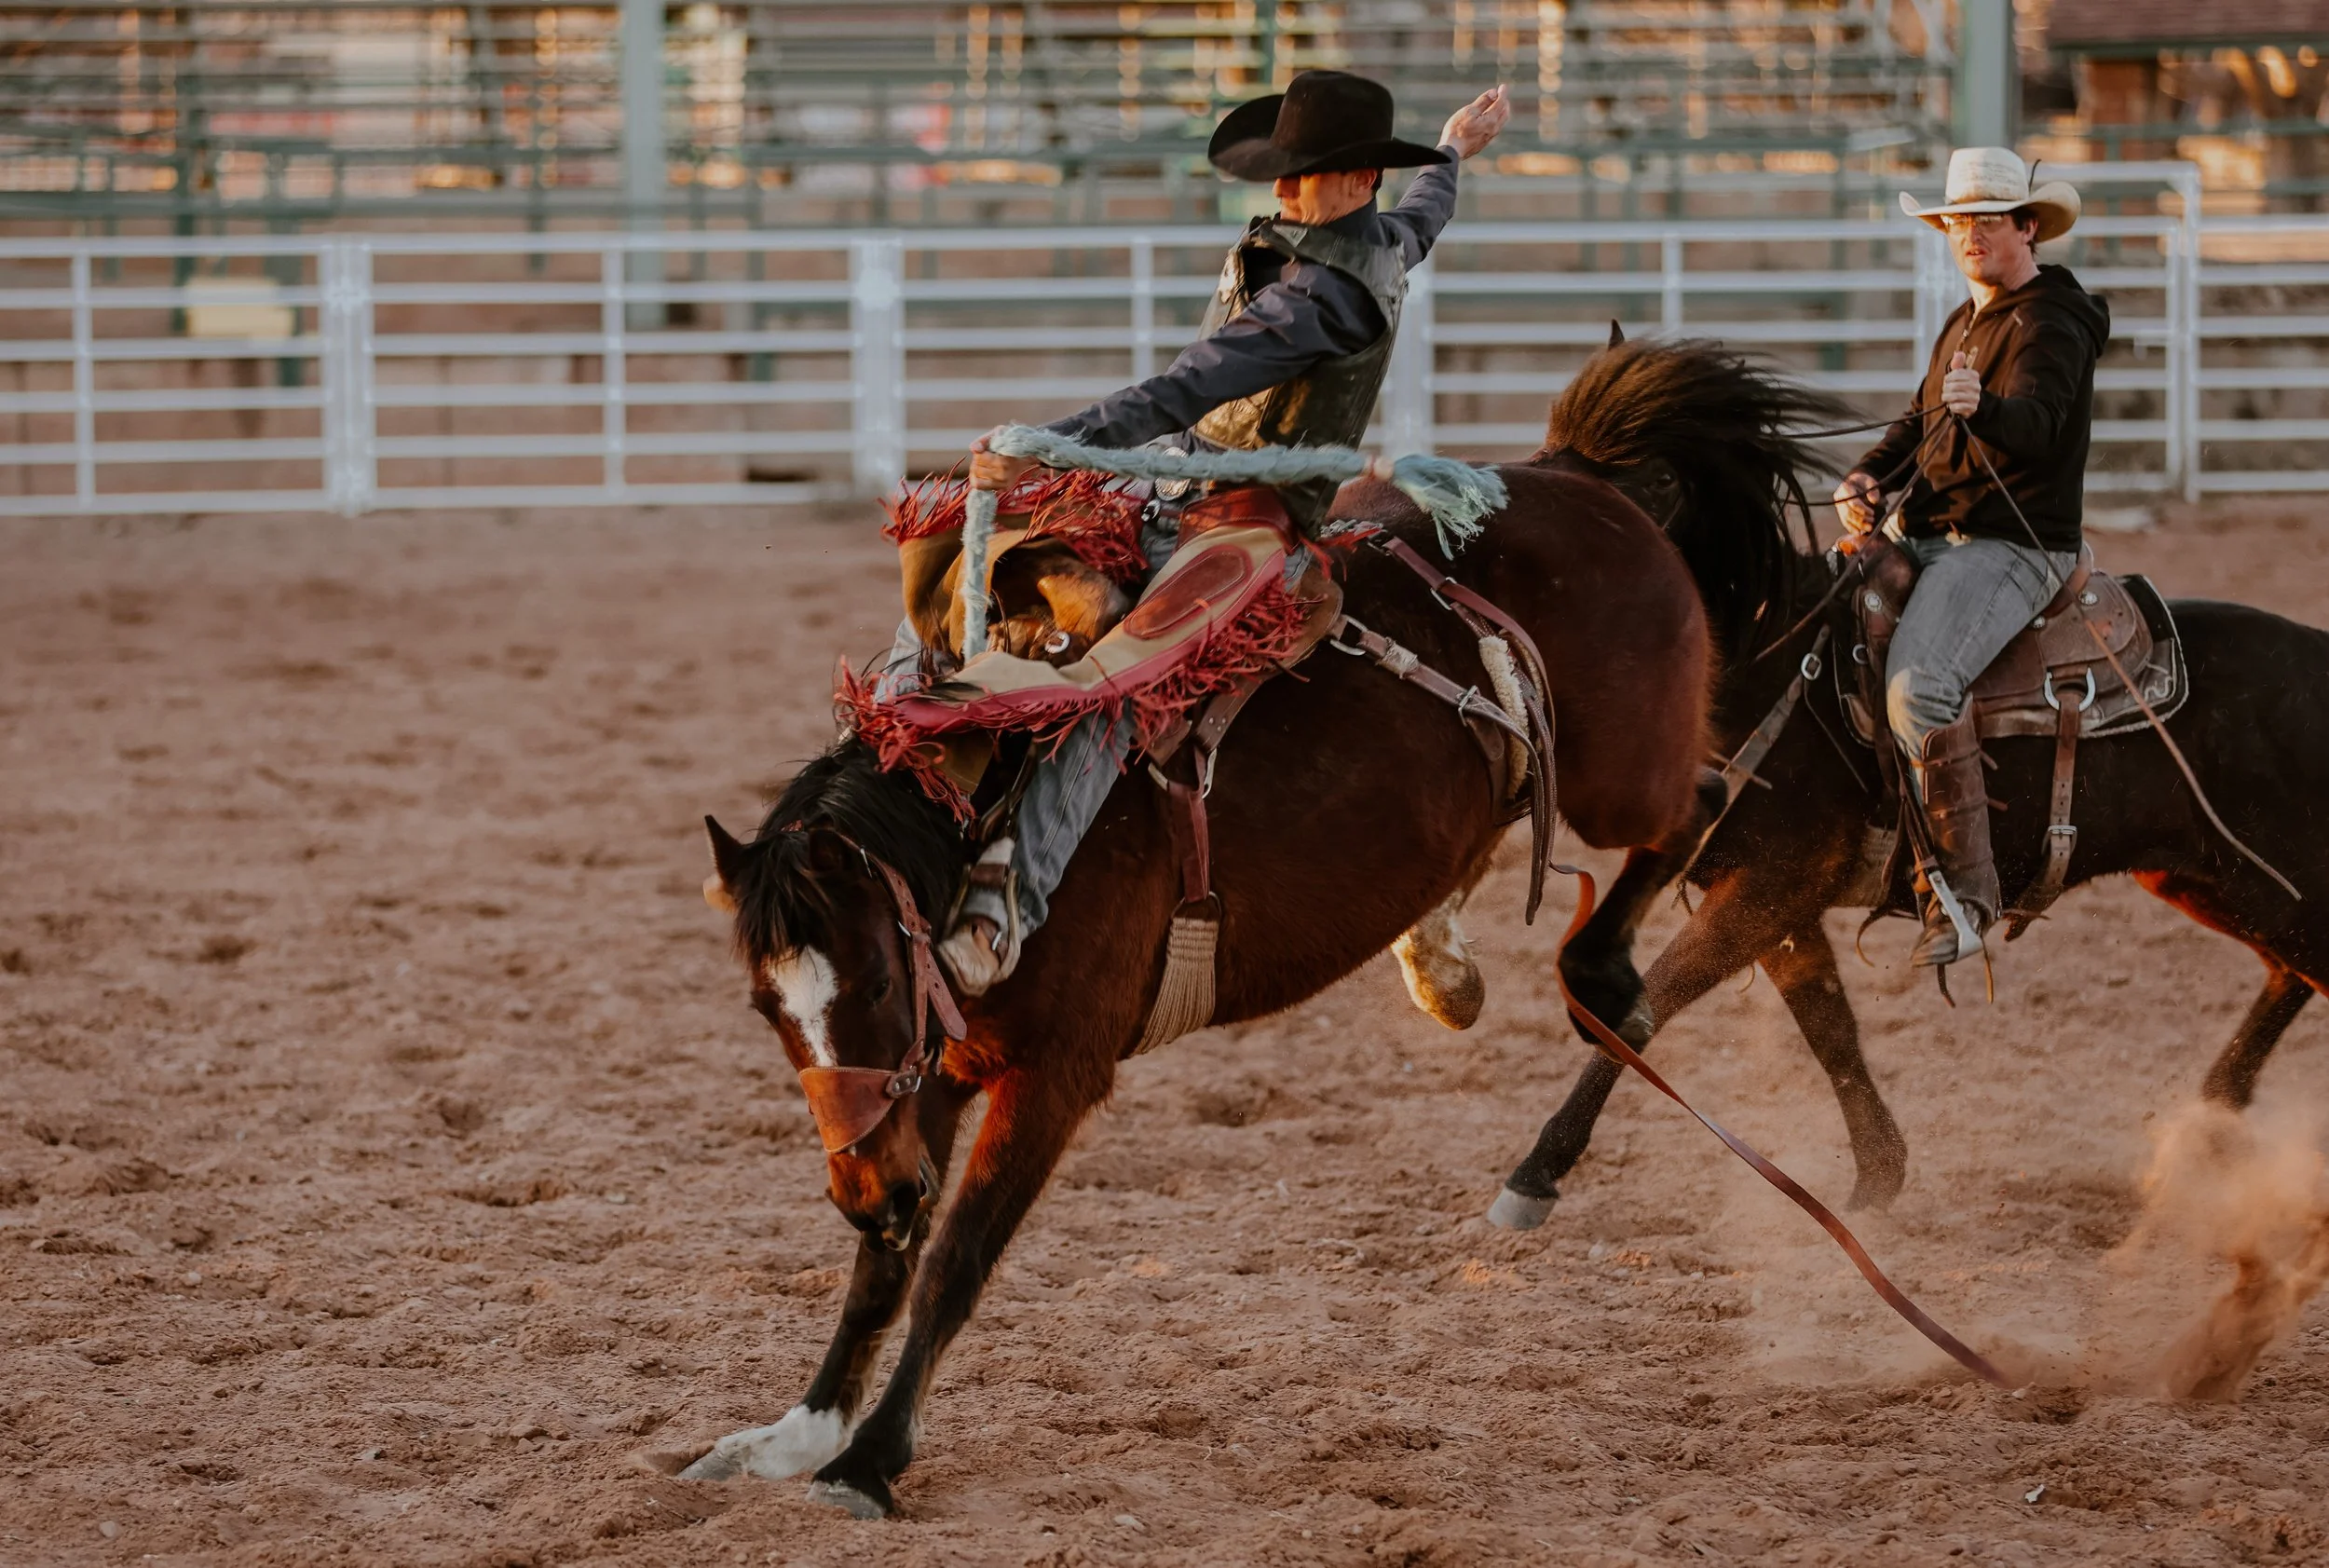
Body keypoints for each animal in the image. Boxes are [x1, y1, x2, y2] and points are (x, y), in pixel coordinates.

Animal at [685, 458, 1727, 1516]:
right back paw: (1445, 966)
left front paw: (869, 1458)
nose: (867, 1195)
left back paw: (1601, 983)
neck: (989, 830)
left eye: (868, 982)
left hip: (1622, 784)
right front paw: (797, 1433)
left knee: (1708, 804)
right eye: (768, 1008)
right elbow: (881, 1269)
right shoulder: (931, 1076)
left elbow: (954, 1260)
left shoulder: (1054, 1075)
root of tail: (1579, 477)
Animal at [1486, 337, 2329, 1229]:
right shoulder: (1777, 901)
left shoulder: (1769, 885)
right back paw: (2205, 1127)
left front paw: (1536, 1172)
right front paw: (1876, 1174)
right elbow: (1828, 1025)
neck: (1778, 669)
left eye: (1646, 477)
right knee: (2289, 976)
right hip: (2220, 883)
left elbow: (1650, 1004)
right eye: (1550, 449)